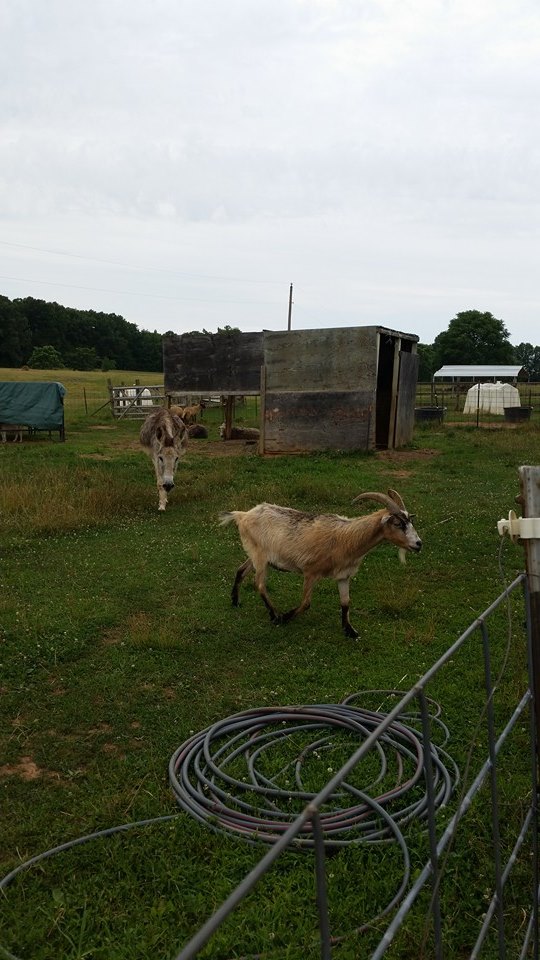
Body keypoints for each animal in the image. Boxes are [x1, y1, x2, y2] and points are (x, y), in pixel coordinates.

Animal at [219, 492, 422, 640]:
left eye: (410, 521)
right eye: (398, 523)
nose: (419, 544)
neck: (347, 538)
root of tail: (243, 515)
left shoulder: (344, 575)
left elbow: (346, 603)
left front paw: (350, 631)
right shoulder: (311, 571)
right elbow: (306, 602)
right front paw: (286, 617)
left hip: (257, 555)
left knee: (241, 570)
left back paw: (235, 600)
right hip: (260, 556)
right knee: (259, 584)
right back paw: (274, 614)